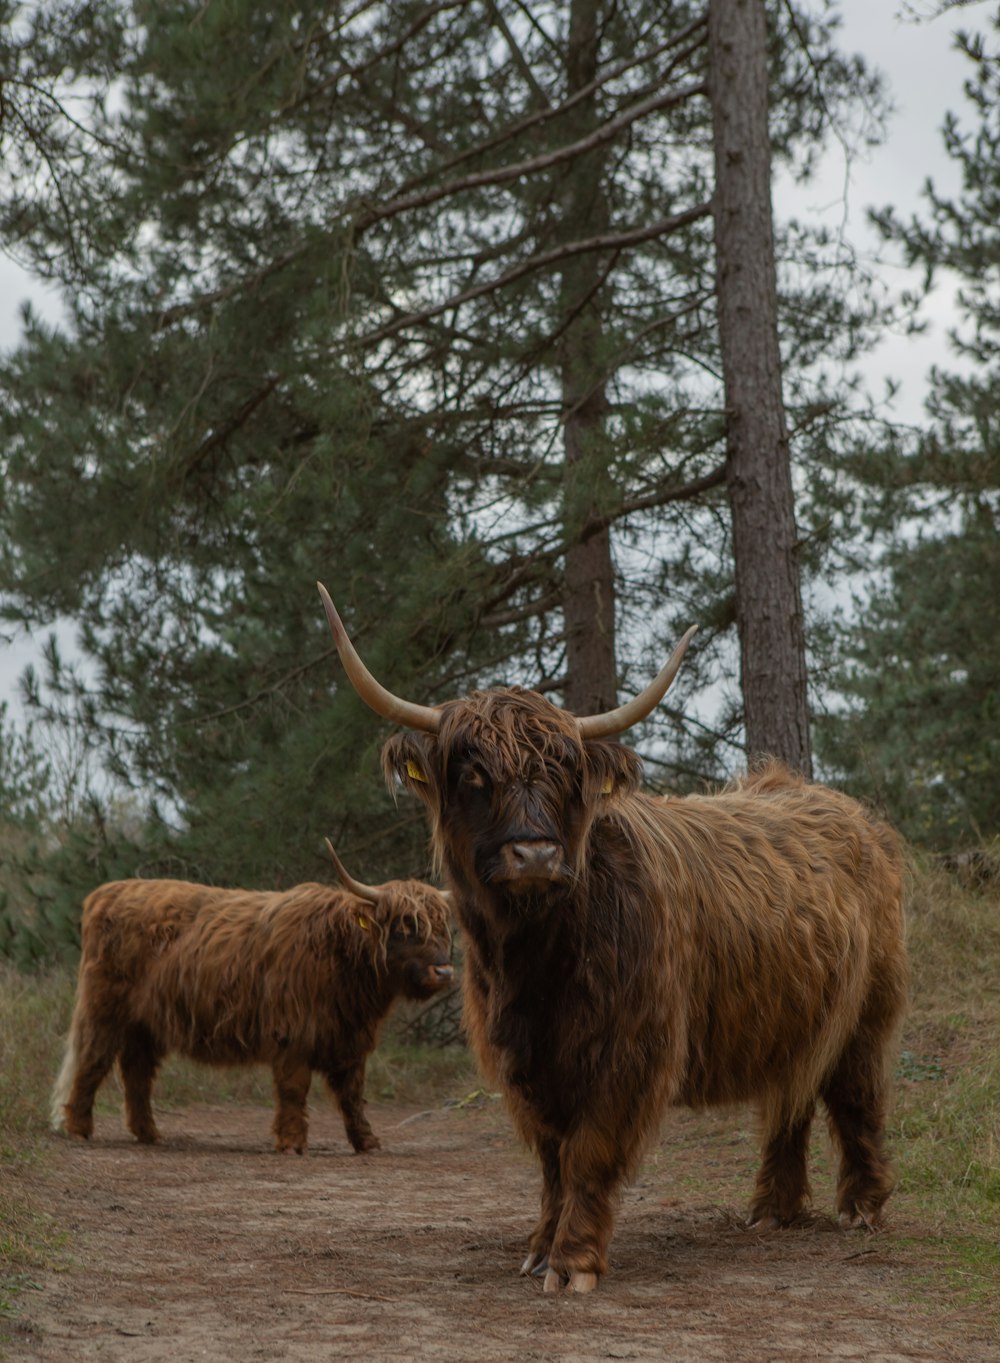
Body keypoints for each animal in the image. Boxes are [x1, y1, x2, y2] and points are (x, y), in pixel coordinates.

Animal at [51, 850, 449, 1150]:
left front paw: (366, 1141)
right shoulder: (292, 1032)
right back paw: (79, 1128)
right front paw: (292, 1142)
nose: (443, 971)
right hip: (104, 1009)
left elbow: (352, 1093)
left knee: (137, 1072)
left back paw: (148, 1133)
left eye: (442, 929)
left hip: (145, 1023)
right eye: (405, 926)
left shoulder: (350, 1037)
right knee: (93, 1060)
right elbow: (294, 1088)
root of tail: (107, 892)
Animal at [318, 580, 910, 1292]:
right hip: (792, 1017)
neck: (536, 960)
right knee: (788, 1099)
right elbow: (552, 1158)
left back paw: (861, 1209)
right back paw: (773, 1210)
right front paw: (538, 1249)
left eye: (563, 777)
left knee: (857, 1096)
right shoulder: (525, 1059)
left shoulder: (627, 1051)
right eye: (474, 777)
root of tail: (852, 814)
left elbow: (589, 1152)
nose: (536, 854)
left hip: (866, 1014)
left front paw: (572, 1262)